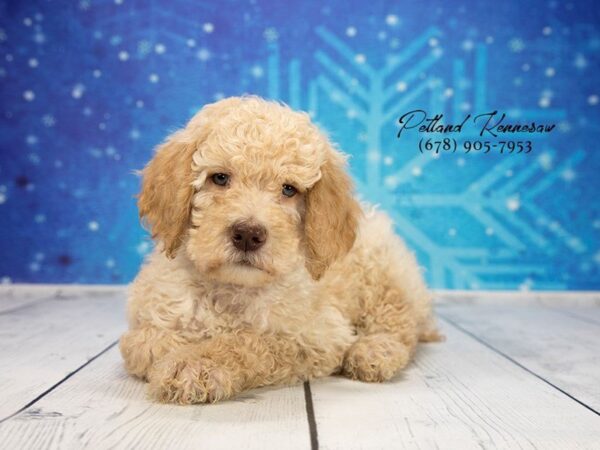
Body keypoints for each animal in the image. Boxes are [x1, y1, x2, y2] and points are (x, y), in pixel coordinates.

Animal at [120, 96, 440, 404]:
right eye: (220, 178)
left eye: (288, 189)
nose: (248, 235)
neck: (231, 289)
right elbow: (142, 343)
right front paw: (166, 349)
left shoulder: (315, 336)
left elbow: (248, 341)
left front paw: (196, 364)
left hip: (384, 273)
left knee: (399, 322)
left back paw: (375, 351)